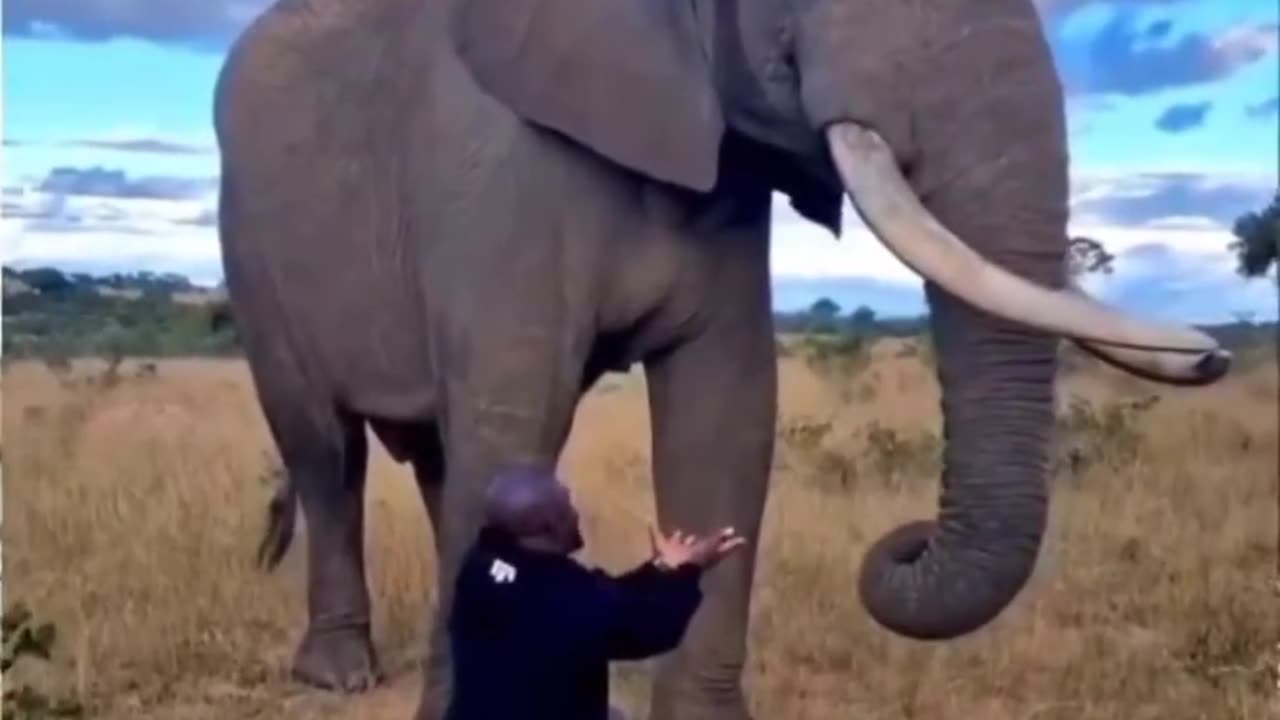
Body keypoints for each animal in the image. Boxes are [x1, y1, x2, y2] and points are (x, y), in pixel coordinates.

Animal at [212, 0, 1230, 718]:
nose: (1212, 355)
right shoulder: (490, 161)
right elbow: (516, 408)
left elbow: (727, 410)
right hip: (255, 250)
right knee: (326, 452)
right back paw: (338, 676)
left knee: (433, 460)